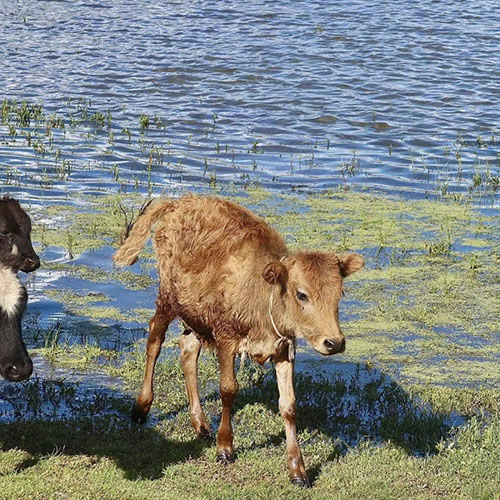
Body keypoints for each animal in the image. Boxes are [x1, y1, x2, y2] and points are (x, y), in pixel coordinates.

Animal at [113, 196, 364, 488]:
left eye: (340, 293)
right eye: (302, 294)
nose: (334, 342)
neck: (262, 292)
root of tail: (178, 201)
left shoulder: (283, 348)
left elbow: (288, 405)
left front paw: (298, 470)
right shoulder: (226, 338)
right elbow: (228, 389)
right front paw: (225, 448)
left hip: (195, 316)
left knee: (188, 350)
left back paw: (200, 424)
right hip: (168, 298)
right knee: (155, 339)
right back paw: (142, 407)